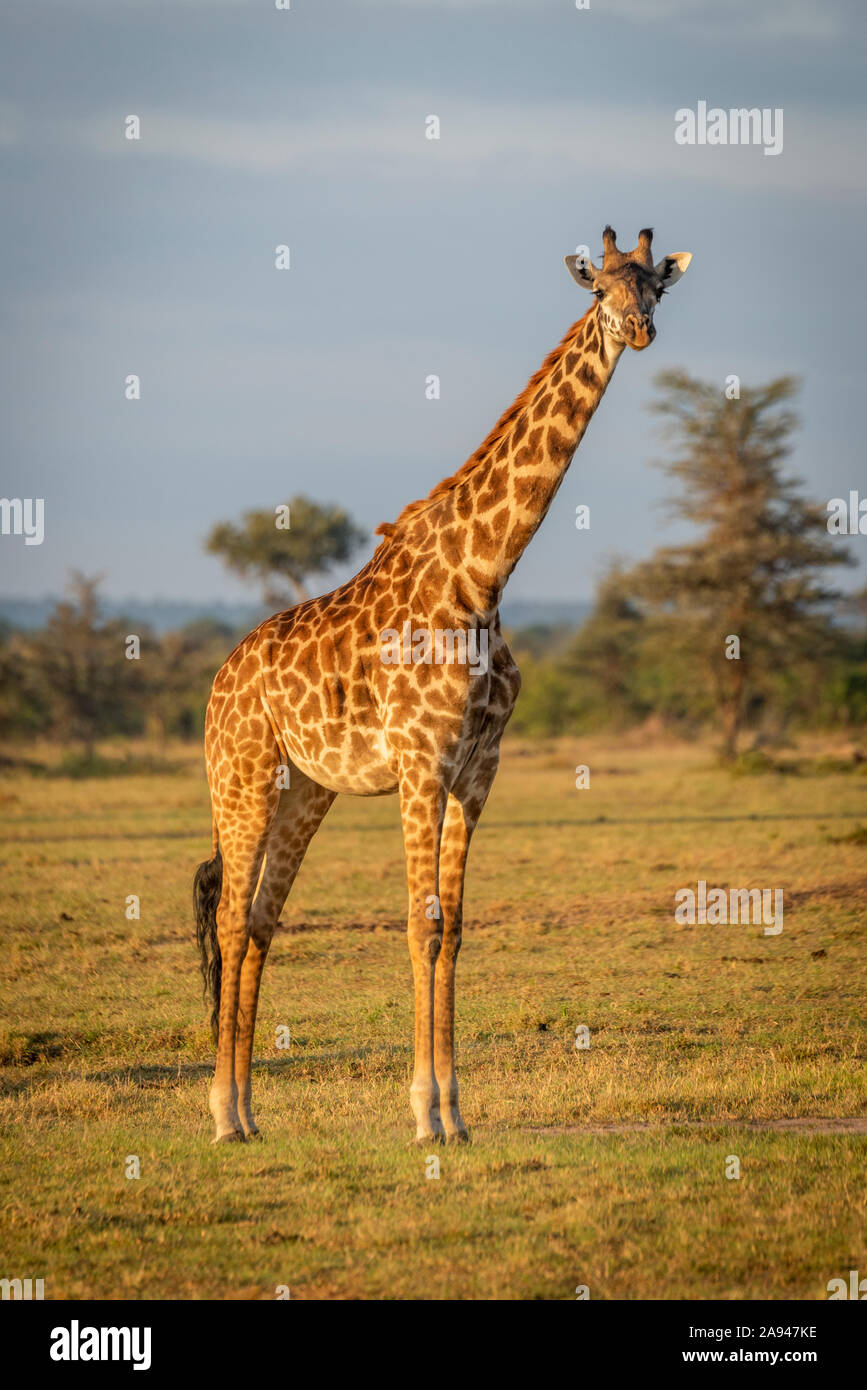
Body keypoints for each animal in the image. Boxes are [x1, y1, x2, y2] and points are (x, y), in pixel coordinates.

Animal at [194, 225, 691, 1139]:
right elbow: (419, 928)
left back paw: (248, 1112)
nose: (638, 332)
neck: (482, 575)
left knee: (260, 921)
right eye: (598, 291)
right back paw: (221, 1114)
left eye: (655, 289)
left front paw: (455, 1114)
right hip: (240, 778)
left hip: (304, 789)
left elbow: (453, 929)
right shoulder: (420, 766)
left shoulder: (476, 772)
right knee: (229, 917)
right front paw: (424, 1114)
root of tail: (217, 683)